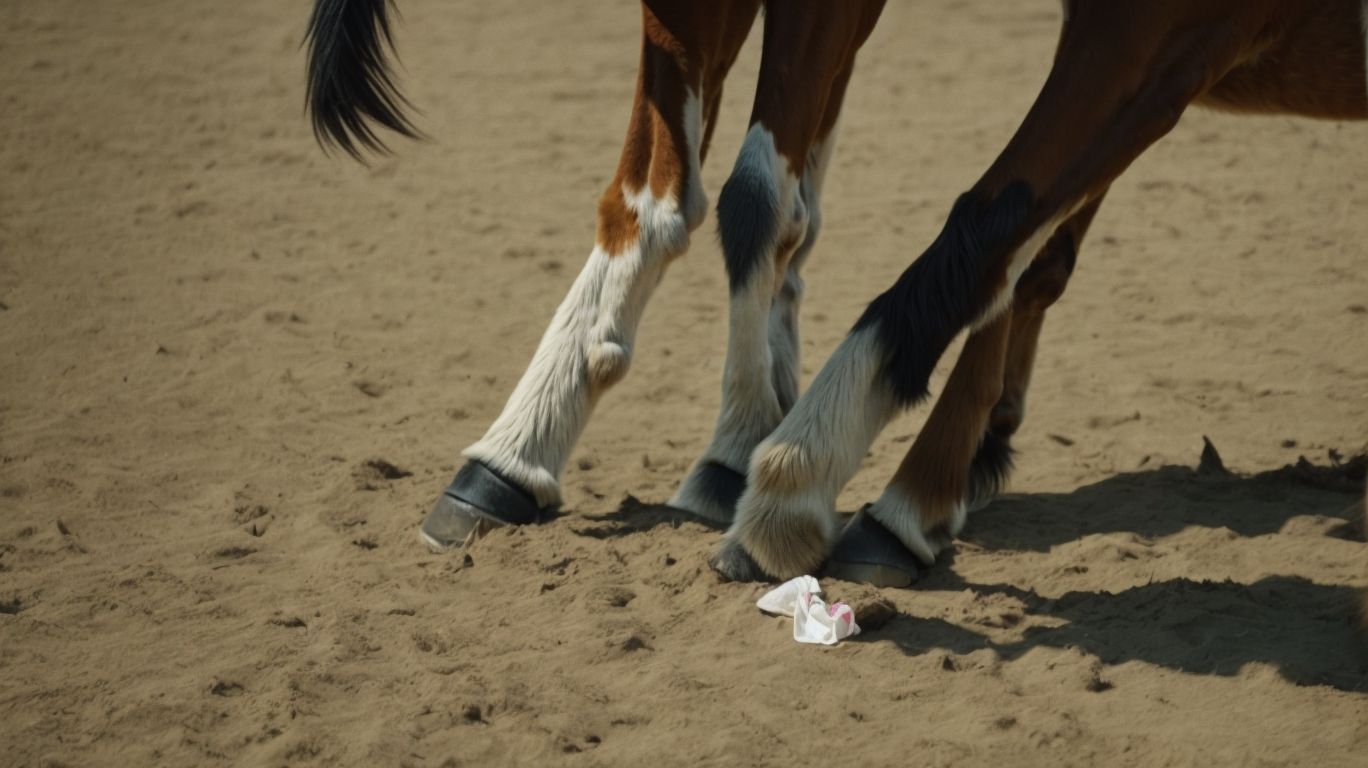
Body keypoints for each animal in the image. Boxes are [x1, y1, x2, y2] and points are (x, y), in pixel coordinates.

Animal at [306, 0, 1368, 587]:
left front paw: (782, 471)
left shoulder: (1161, 33)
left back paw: (897, 500)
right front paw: (522, 448)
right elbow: (694, 196)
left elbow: (979, 227)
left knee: (1019, 250)